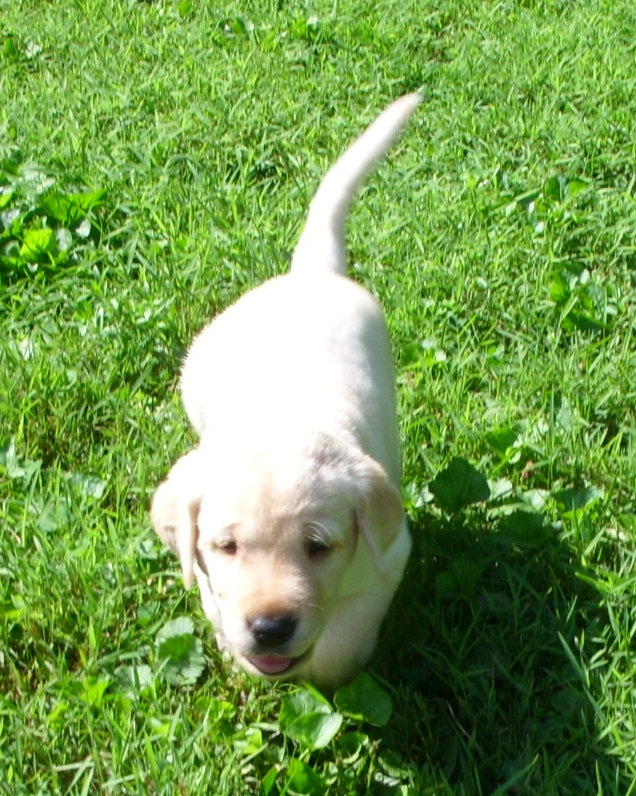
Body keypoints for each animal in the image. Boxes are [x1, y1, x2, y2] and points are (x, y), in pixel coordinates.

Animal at [151, 93, 420, 690]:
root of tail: (309, 274)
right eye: (226, 546)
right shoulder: (209, 580)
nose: (270, 628)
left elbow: (340, 644)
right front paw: (241, 659)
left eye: (317, 547)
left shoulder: (387, 559)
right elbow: (216, 604)